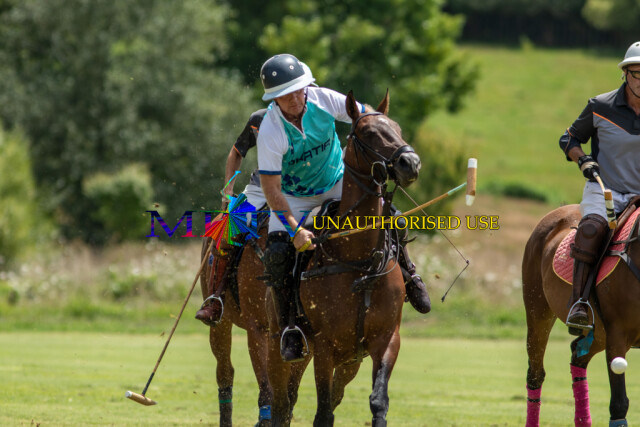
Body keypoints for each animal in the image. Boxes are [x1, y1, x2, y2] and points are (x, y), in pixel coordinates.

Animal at [522, 203, 640, 426]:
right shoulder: (618, 334)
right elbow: (619, 404)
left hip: (600, 334)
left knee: (577, 355)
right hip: (537, 310)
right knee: (535, 374)